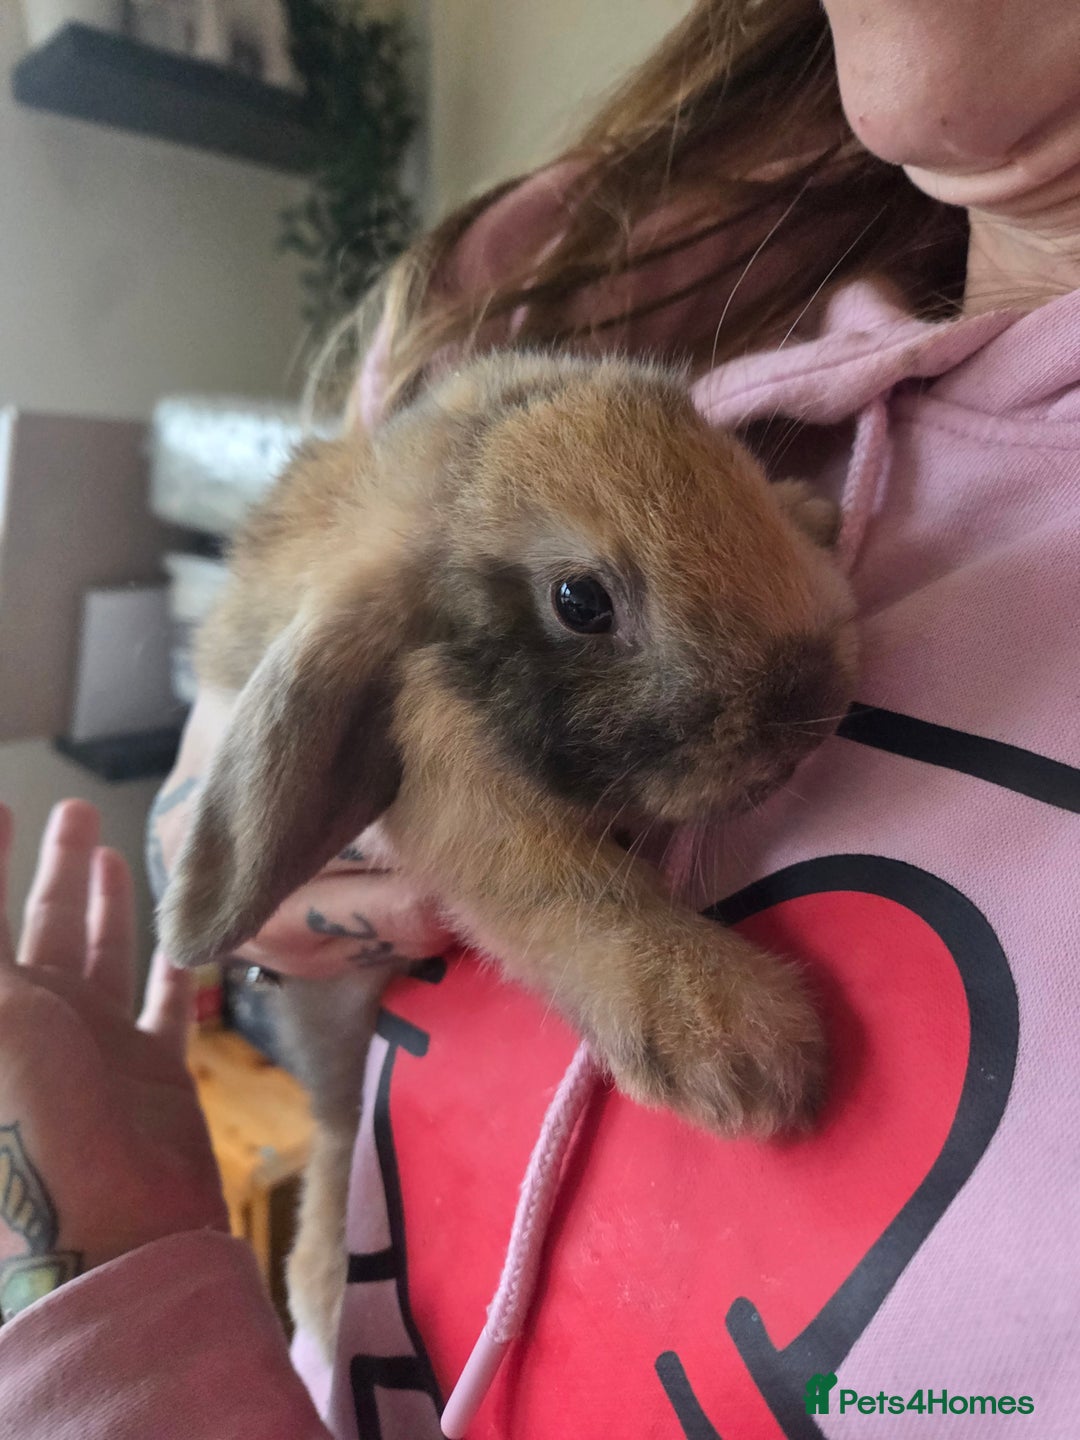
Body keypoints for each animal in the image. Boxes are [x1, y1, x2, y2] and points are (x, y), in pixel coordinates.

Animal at [158, 349, 857, 1355]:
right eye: (580, 602)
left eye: (731, 463)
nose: (811, 705)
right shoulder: (447, 779)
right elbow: (568, 899)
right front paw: (746, 1054)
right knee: (334, 1136)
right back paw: (322, 1291)